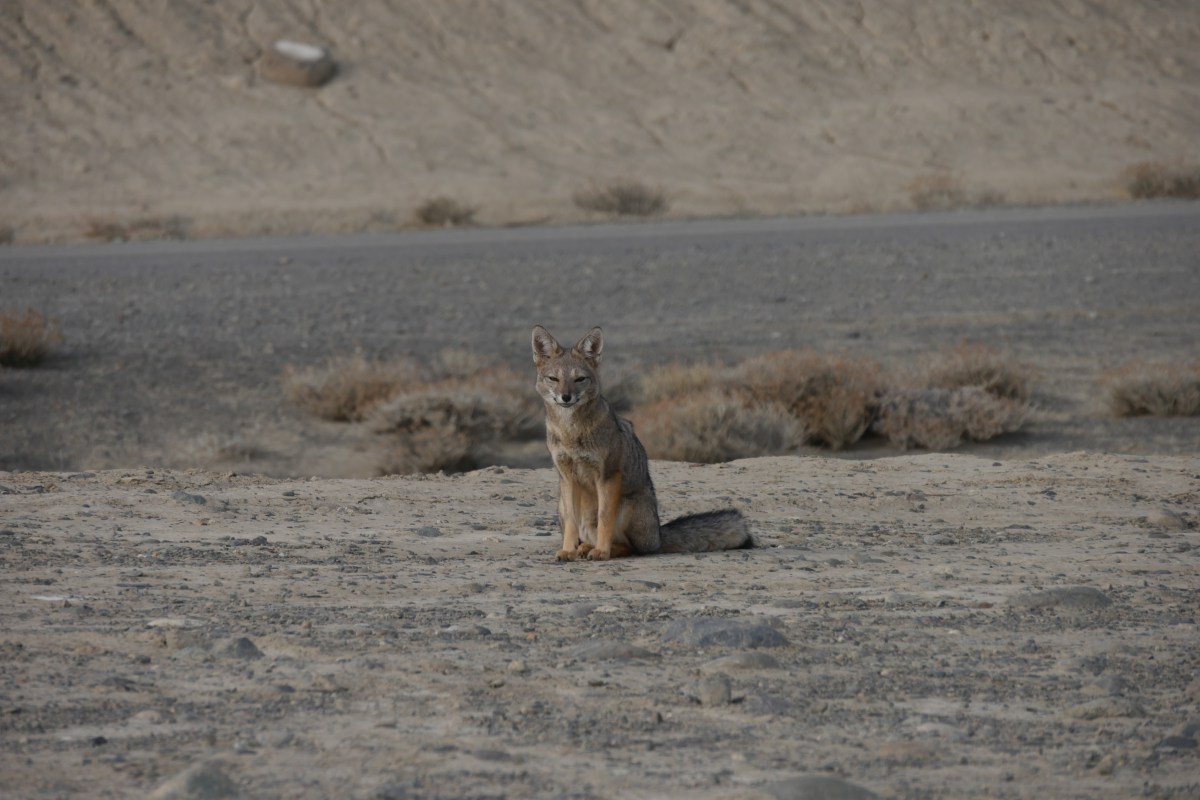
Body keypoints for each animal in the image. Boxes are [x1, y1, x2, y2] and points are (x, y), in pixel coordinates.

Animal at [532, 325, 755, 561]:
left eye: (580, 379)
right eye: (553, 379)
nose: (565, 397)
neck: (571, 432)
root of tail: (658, 535)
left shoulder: (608, 475)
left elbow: (604, 518)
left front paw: (602, 551)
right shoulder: (566, 477)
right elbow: (572, 522)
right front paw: (568, 550)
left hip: (627, 504)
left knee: (631, 547)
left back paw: (602, 549)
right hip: (561, 505)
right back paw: (583, 547)